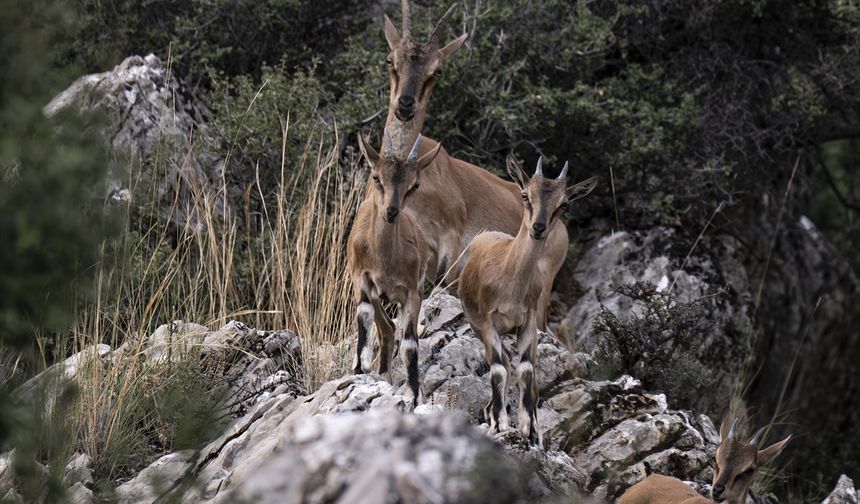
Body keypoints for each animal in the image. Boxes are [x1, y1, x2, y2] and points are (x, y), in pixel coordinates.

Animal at [350, 129, 444, 406]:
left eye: (414, 185)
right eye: (376, 177)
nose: (391, 211)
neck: (385, 261)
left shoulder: (412, 292)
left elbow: (410, 344)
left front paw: (414, 392)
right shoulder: (362, 280)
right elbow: (364, 317)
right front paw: (360, 368)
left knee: (391, 330)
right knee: (385, 329)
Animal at [456, 158, 596, 444]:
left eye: (564, 203)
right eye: (525, 195)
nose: (538, 228)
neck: (510, 281)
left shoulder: (528, 323)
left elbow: (526, 369)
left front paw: (530, 429)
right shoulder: (488, 323)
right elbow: (498, 369)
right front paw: (500, 423)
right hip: (477, 327)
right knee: (502, 362)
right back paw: (491, 412)